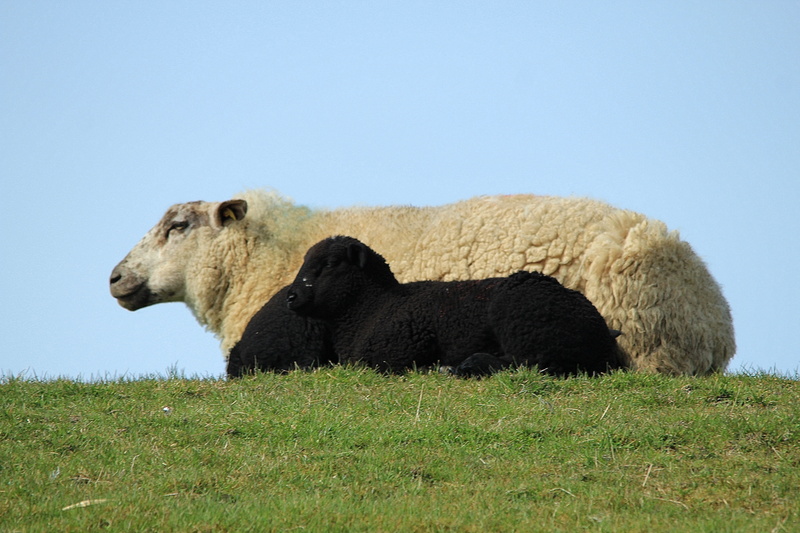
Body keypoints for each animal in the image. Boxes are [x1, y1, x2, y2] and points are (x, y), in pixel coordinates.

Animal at [286, 236, 625, 376]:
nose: (291, 297)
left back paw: (463, 366)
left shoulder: (391, 354)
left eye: (330, 264)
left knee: (530, 364)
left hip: (527, 327)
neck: (372, 308)